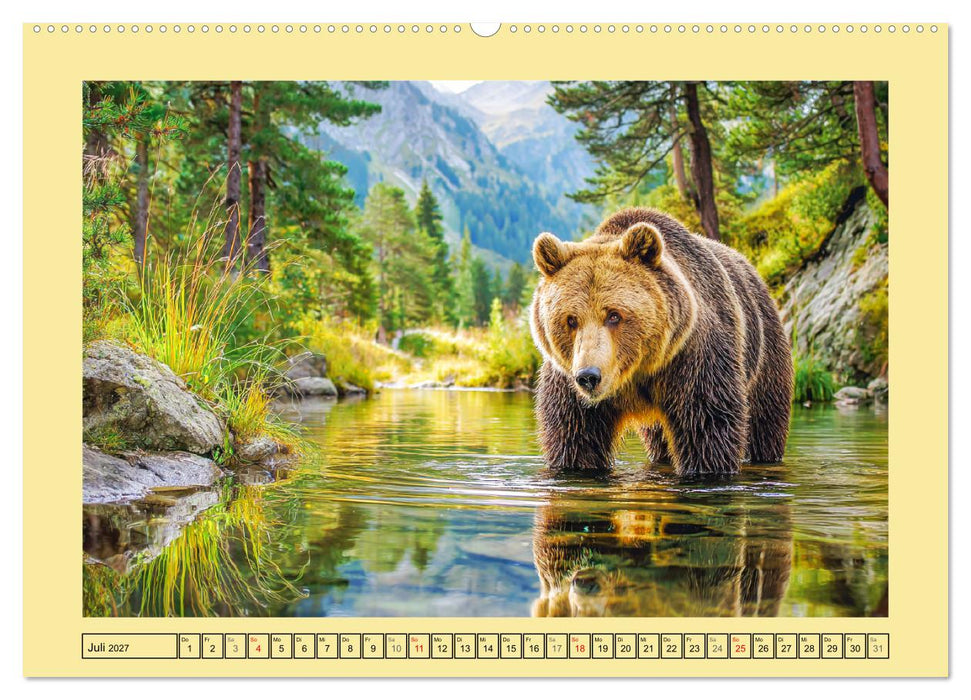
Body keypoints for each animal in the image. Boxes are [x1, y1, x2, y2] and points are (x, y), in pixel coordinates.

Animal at [529, 207, 793, 477]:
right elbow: (576, 439)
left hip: (764, 353)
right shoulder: (569, 382)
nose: (589, 376)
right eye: (571, 320)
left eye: (614, 315)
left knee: (765, 420)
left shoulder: (692, 359)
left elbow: (707, 429)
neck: (635, 372)